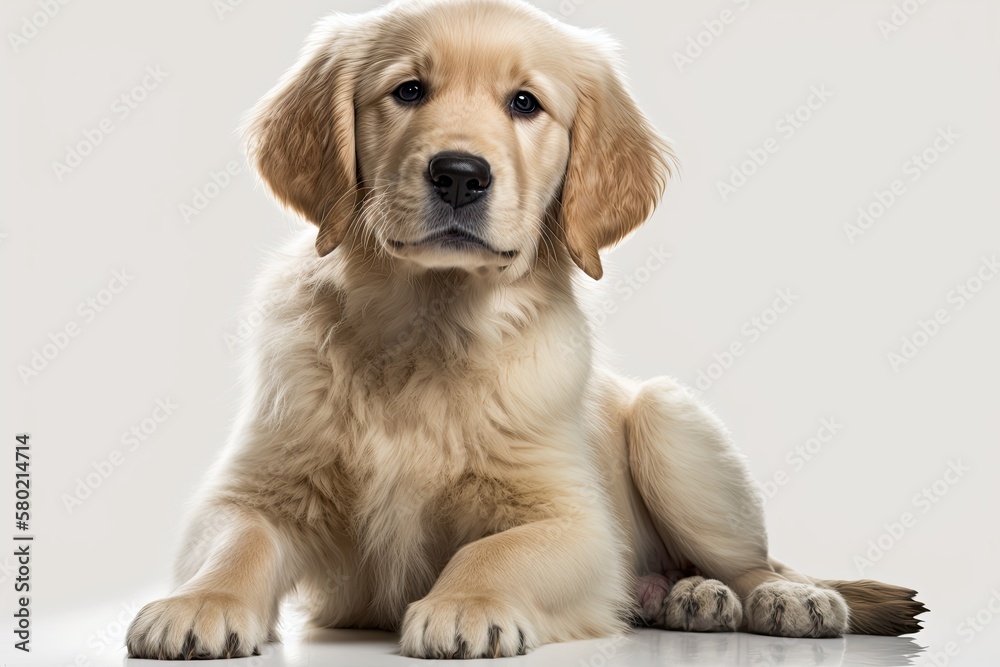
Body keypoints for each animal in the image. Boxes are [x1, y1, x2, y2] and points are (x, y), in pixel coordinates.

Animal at [127, 0, 928, 660]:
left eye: (525, 104)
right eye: (408, 90)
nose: (459, 174)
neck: (428, 325)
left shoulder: (574, 520)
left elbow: (497, 550)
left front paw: (464, 604)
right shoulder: (259, 486)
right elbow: (235, 541)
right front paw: (198, 603)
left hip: (672, 425)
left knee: (756, 558)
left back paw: (783, 595)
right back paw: (687, 597)